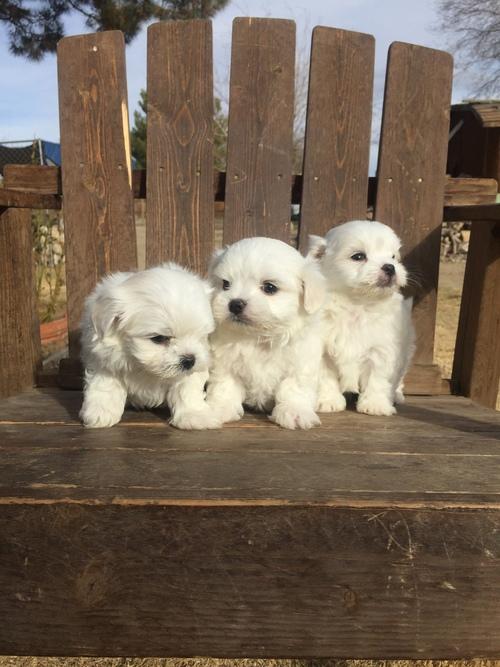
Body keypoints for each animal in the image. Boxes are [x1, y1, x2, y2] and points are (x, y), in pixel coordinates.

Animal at [79, 264, 220, 430]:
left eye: (201, 335)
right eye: (159, 338)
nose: (189, 360)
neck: (144, 368)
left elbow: (187, 388)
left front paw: (194, 416)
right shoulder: (104, 359)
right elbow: (105, 385)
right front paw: (101, 413)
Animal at [206, 237, 324, 430]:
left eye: (269, 287)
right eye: (225, 284)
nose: (235, 304)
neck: (258, 337)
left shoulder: (300, 363)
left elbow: (293, 387)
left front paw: (295, 412)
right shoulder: (225, 363)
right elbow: (224, 386)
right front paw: (219, 408)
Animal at [310, 222, 416, 414]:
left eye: (393, 257)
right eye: (358, 256)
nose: (390, 267)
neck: (358, 304)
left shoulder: (382, 350)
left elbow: (378, 379)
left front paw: (375, 405)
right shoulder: (322, 350)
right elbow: (325, 377)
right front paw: (328, 401)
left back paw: (396, 396)